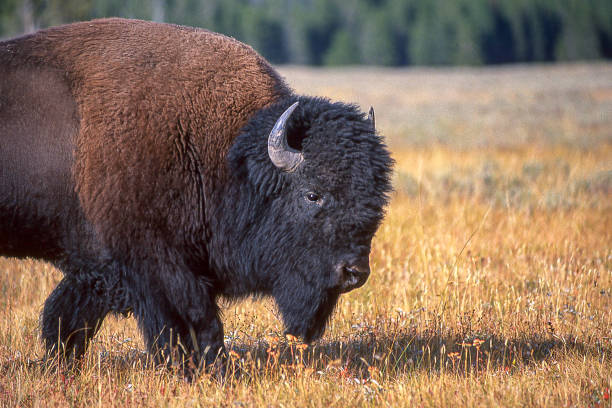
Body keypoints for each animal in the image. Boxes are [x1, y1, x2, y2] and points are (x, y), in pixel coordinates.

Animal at [0, 18, 392, 370]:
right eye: (312, 194)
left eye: (376, 198)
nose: (354, 272)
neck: (228, 158)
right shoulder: (156, 264)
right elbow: (194, 322)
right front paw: (205, 370)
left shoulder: (98, 265)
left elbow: (66, 319)